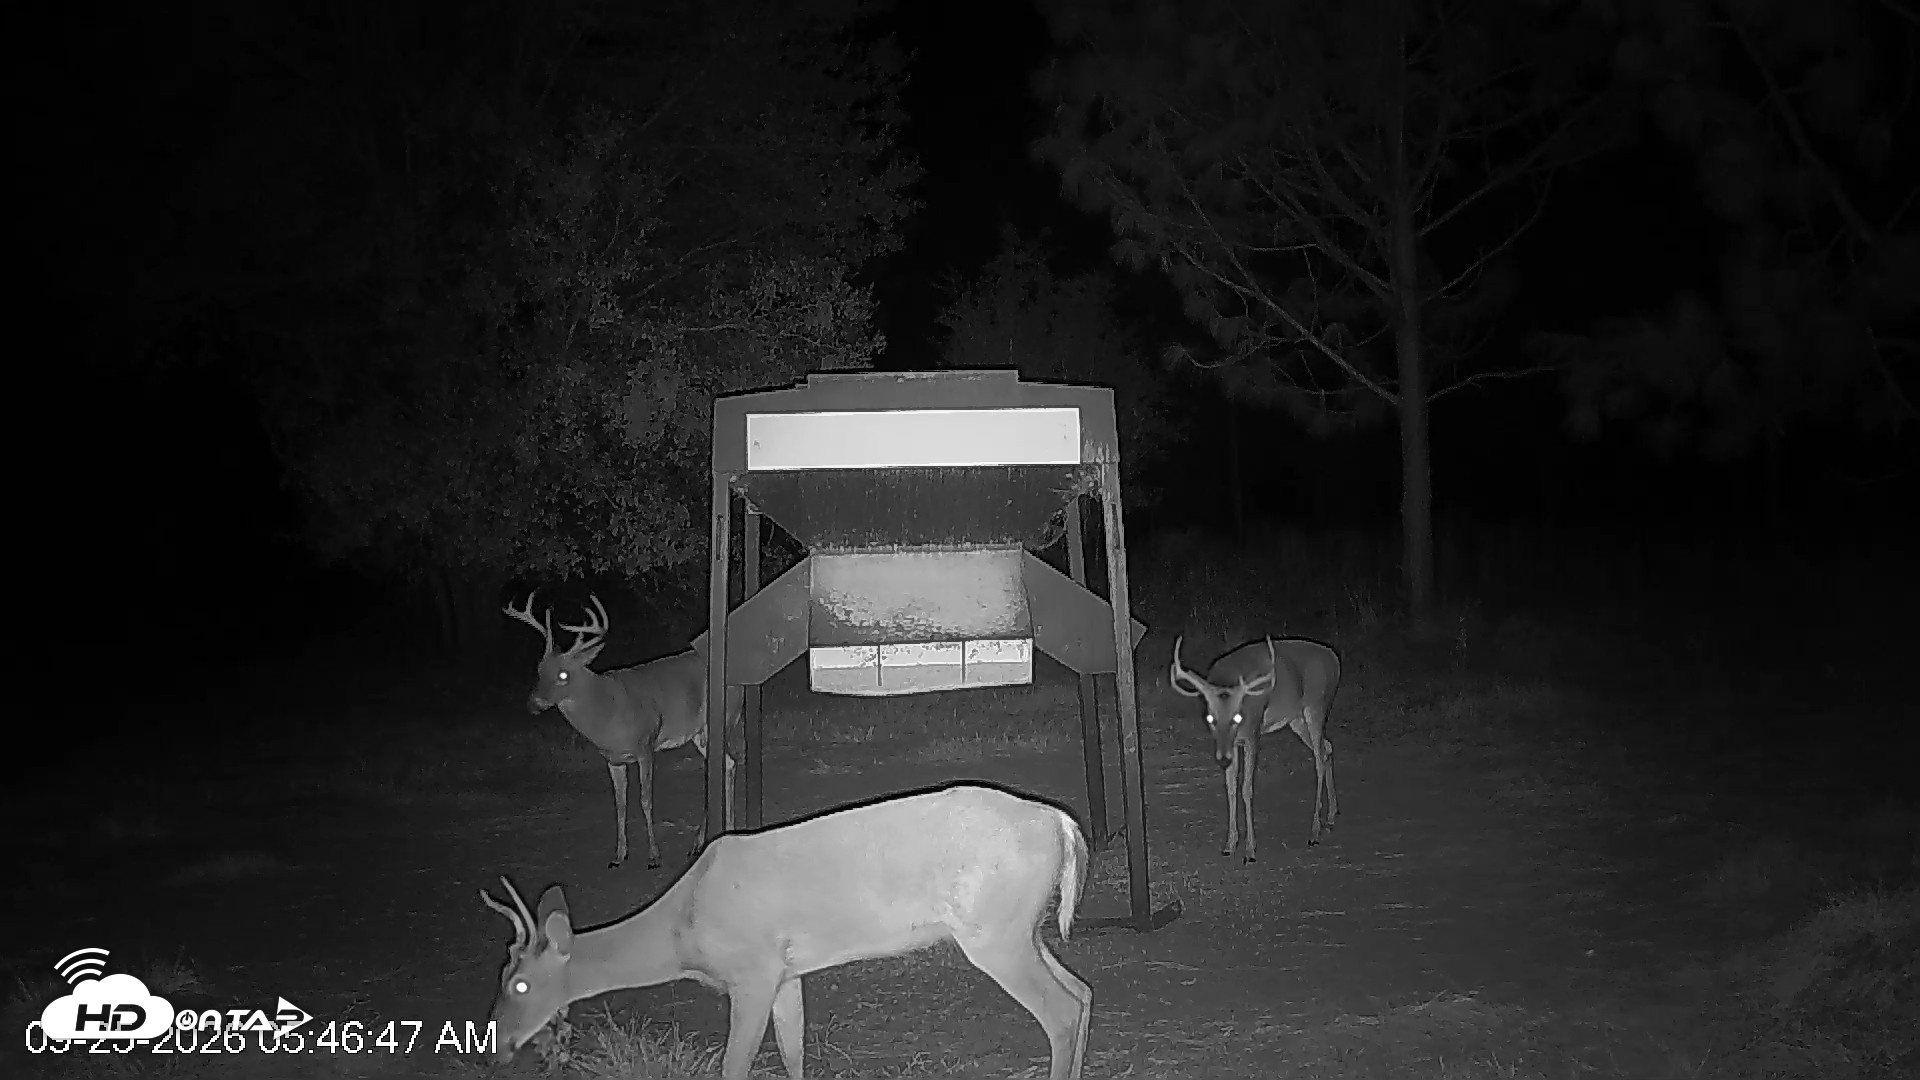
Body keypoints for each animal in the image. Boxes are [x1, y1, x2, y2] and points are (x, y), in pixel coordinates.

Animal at [480, 783, 1092, 1080]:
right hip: (1019, 928)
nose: (497, 1050)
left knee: (1060, 1010)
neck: (683, 928)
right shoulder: (785, 972)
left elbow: (735, 1066)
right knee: (1082, 992)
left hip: (994, 933)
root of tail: (1061, 823)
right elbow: (794, 1051)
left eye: (519, 985)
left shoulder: (750, 972)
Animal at [504, 593, 743, 870]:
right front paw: (618, 856)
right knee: (726, 764)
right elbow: (620, 803)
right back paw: (713, 836)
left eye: (563, 675)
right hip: (700, 734)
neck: (608, 712)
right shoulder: (613, 759)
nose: (533, 704)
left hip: (725, 718)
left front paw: (654, 857)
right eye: (539, 670)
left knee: (729, 762)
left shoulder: (645, 745)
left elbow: (645, 800)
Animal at [1170, 634, 1341, 862]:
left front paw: (1250, 851)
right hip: (1296, 719)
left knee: (1319, 760)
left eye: (1237, 717)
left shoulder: (1253, 734)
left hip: (1316, 706)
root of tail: (1334, 659)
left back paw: (1314, 832)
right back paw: (1331, 816)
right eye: (1210, 718)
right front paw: (1230, 844)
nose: (1221, 759)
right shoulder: (1233, 744)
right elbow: (1231, 787)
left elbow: (1246, 789)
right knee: (1327, 748)